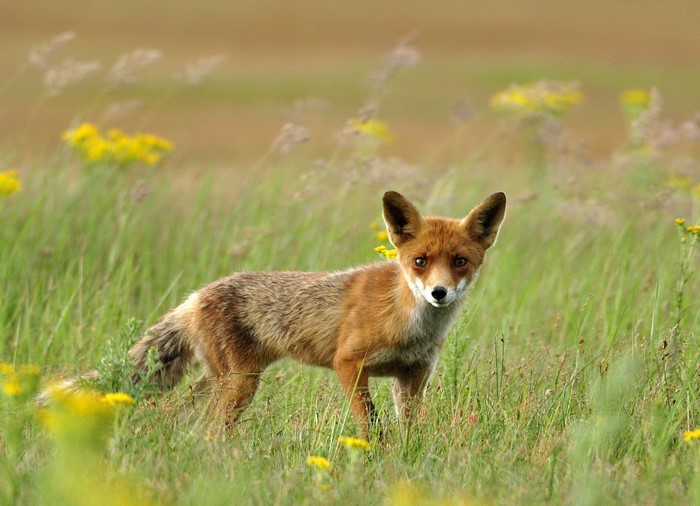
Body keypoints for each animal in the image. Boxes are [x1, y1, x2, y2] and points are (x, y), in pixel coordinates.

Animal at [105, 191, 505, 435]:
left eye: (459, 261)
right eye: (420, 261)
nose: (439, 293)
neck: (409, 325)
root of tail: (196, 294)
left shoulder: (412, 377)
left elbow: (410, 430)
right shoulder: (349, 364)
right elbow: (372, 425)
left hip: (222, 381)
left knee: (177, 414)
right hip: (239, 384)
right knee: (208, 429)